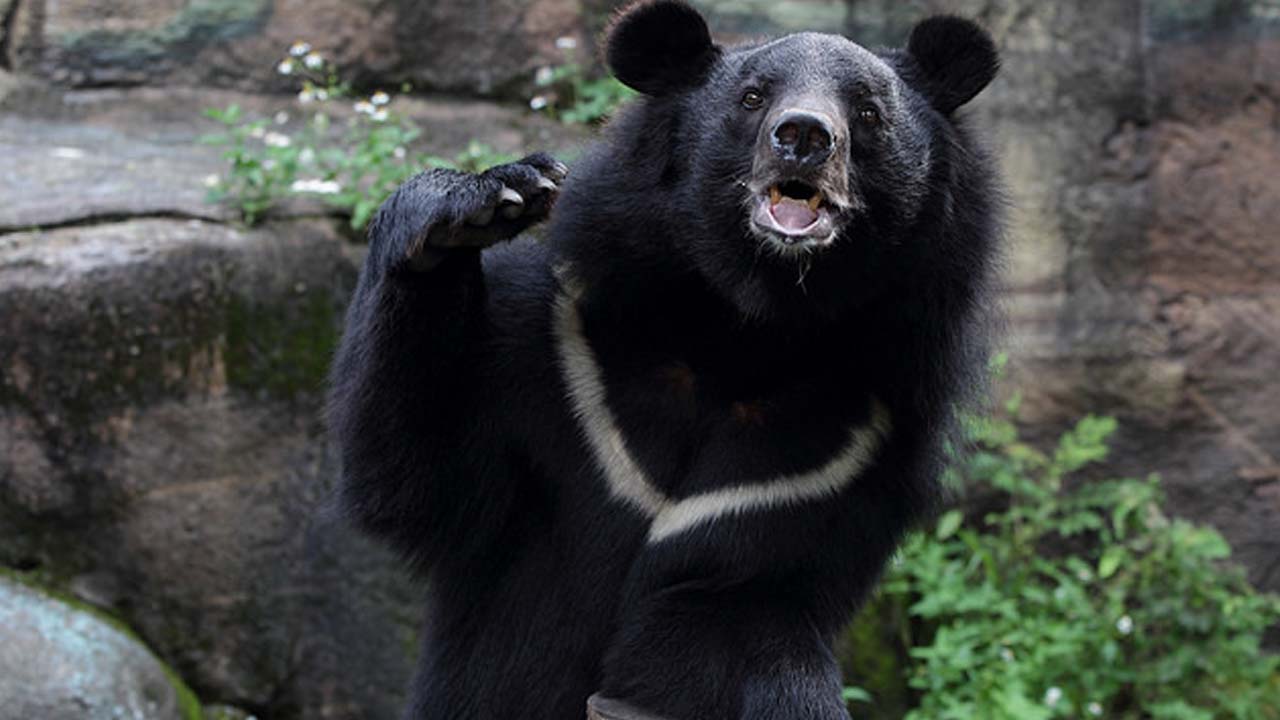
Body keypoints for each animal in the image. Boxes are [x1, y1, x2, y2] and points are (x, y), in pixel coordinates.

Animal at [327, 2, 1002, 718]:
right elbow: (414, 472)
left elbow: (735, 618)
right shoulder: (559, 358)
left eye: (868, 112)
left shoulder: (843, 459)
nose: (804, 136)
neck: (747, 328)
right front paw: (485, 201)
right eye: (753, 97)